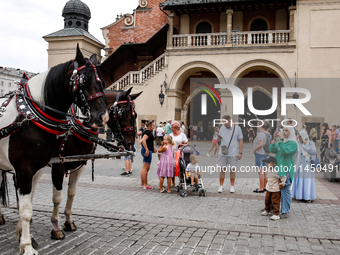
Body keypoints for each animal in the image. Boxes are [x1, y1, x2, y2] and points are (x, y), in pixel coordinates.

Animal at [0, 44, 107, 254]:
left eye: (102, 80)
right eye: (84, 80)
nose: (102, 116)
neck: (29, 117)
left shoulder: (37, 170)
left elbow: (28, 204)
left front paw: (23, 237)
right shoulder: (25, 170)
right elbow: (26, 210)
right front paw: (27, 246)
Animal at [49, 87, 142, 239]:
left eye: (136, 115)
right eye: (122, 113)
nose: (130, 144)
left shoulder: (78, 164)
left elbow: (71, 193)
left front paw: (69, 222)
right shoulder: (58, 164)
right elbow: (57, 197)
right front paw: (56, 227)